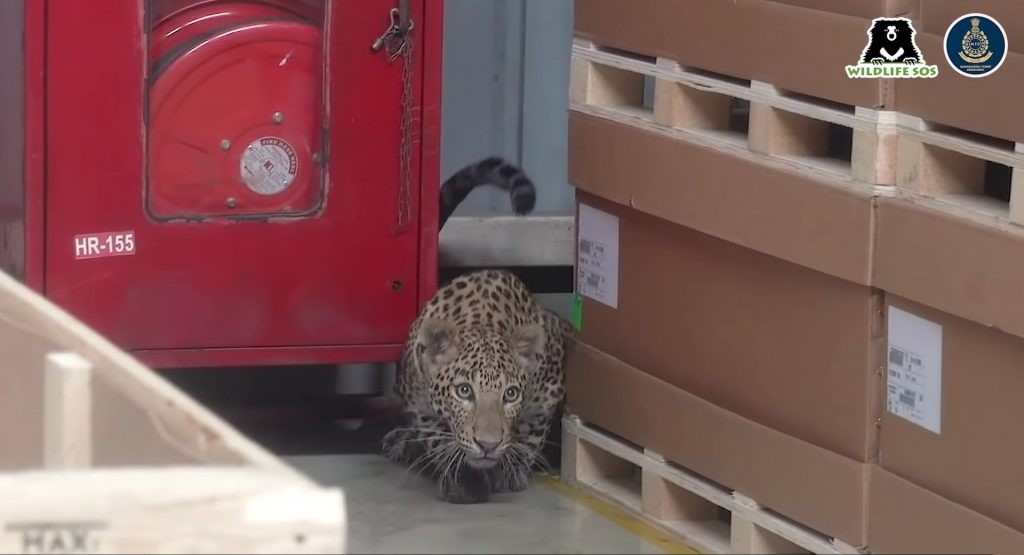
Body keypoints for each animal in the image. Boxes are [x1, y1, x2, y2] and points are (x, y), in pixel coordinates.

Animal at [385, 155, 573, 503]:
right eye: (464, 391)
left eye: (510, 394)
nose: (488, 444)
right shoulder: (415, 394)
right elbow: (435, 433)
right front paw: (462, 476)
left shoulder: (550, 385)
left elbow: (530, 433)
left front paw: (510, 469)